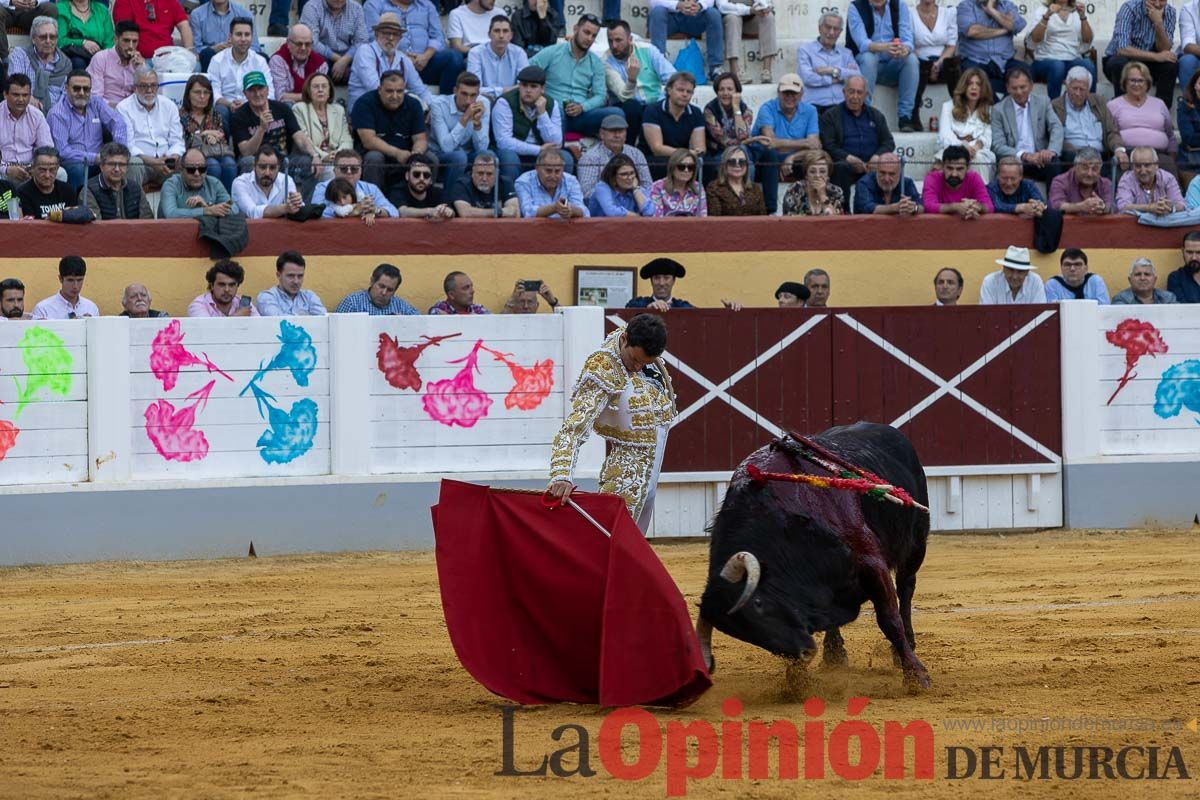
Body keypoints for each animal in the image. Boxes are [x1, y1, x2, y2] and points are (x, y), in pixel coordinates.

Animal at [696, 422, 936, 690]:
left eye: (758, 604)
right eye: (742, 633)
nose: (804, 652)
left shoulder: (870, 562)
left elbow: (889, 619)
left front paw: (916, 676)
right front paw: (796, 681)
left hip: (916, 544)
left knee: (906, 587)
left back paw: (904, 647)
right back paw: (834, 654)